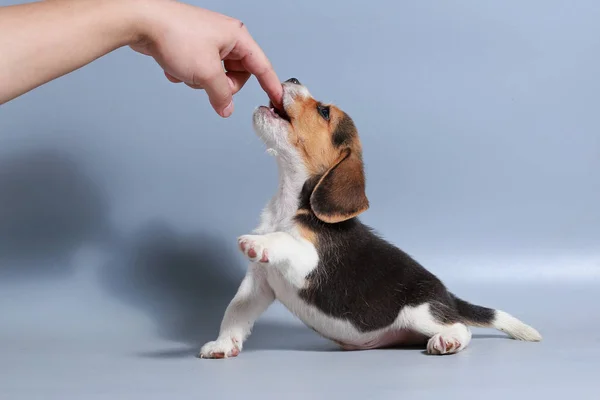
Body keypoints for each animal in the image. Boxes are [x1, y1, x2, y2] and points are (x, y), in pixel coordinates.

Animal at [199, 78, 540, 360]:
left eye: (324, 111)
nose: (292, 78)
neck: (289, 201)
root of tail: (448, 298)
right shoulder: (259, 283)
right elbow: (235, 312)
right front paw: (223, 344)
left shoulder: (312, 262)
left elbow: (285, 241)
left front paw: (256, 242)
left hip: (420, 311)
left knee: (461, 327)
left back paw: (448, 341)